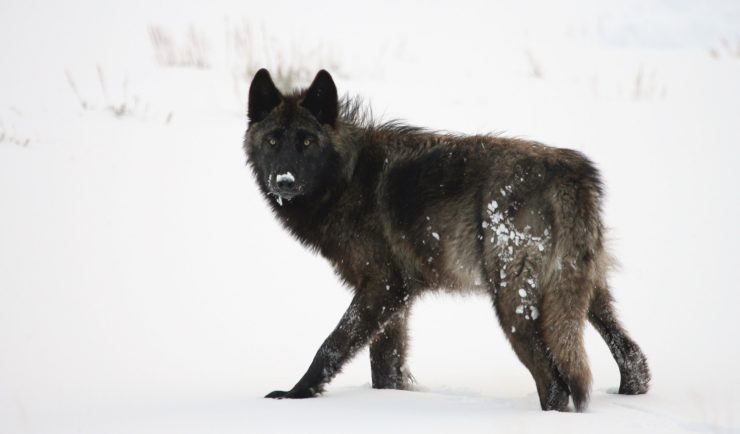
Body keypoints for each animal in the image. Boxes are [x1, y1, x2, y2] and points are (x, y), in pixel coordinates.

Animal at [243, 68, 648, 410]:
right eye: (273, 140)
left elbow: (331, 346)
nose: (284, 181)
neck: (347, 178)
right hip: (584, 294)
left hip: (513, 304)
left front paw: (294, 395)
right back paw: (630, 391)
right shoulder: (397, 300)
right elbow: (385, 368)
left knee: (555, 383)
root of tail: (571, 173)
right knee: (633, 357)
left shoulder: (381, 287)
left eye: (307, 141)